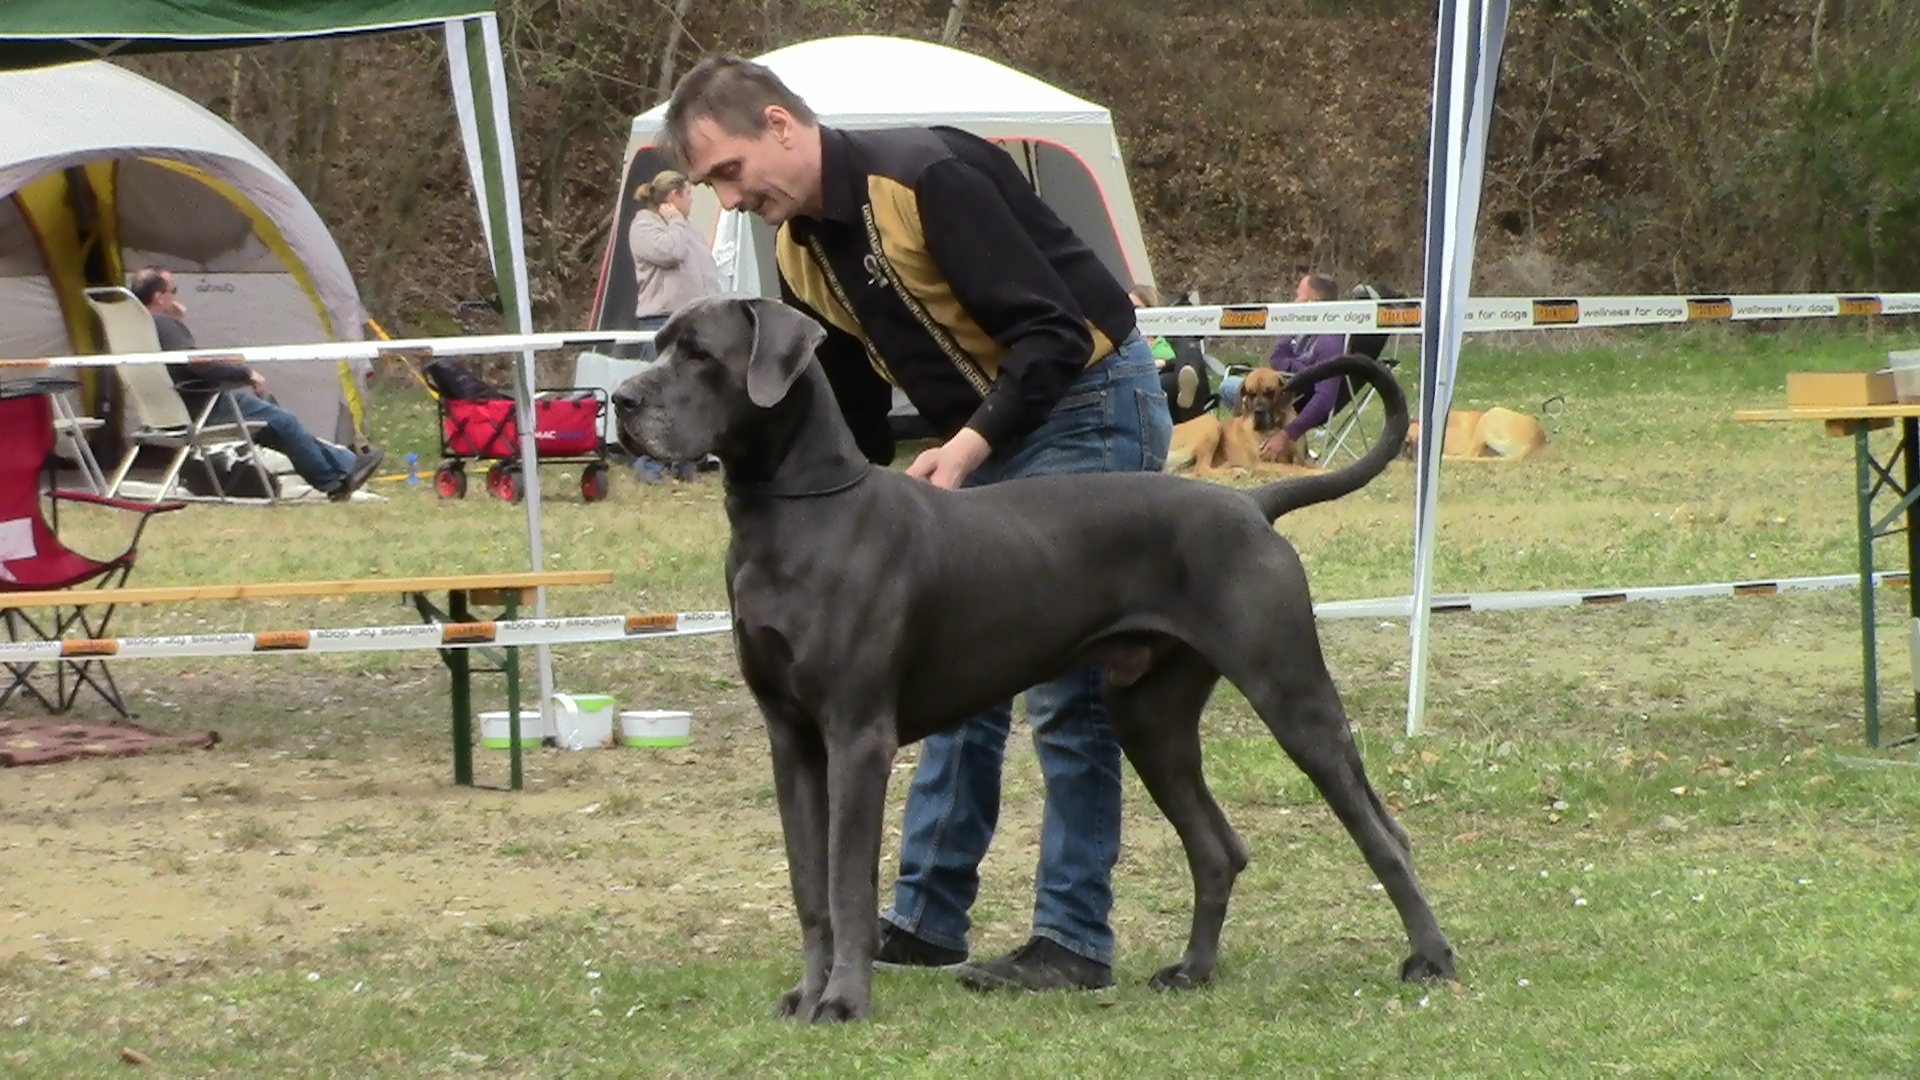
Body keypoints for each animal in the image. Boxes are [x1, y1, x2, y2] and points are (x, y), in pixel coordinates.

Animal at [1159, 365, 1313, 474]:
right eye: (1251, 394)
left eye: (1270, 392)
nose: (1258, 412)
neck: (1277, 425)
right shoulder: (1263, 463)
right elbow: (1295, 469)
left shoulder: (1300, 459)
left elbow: (1309, 465)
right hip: (1211, 422)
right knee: (1201, 469)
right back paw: (1234, 471)